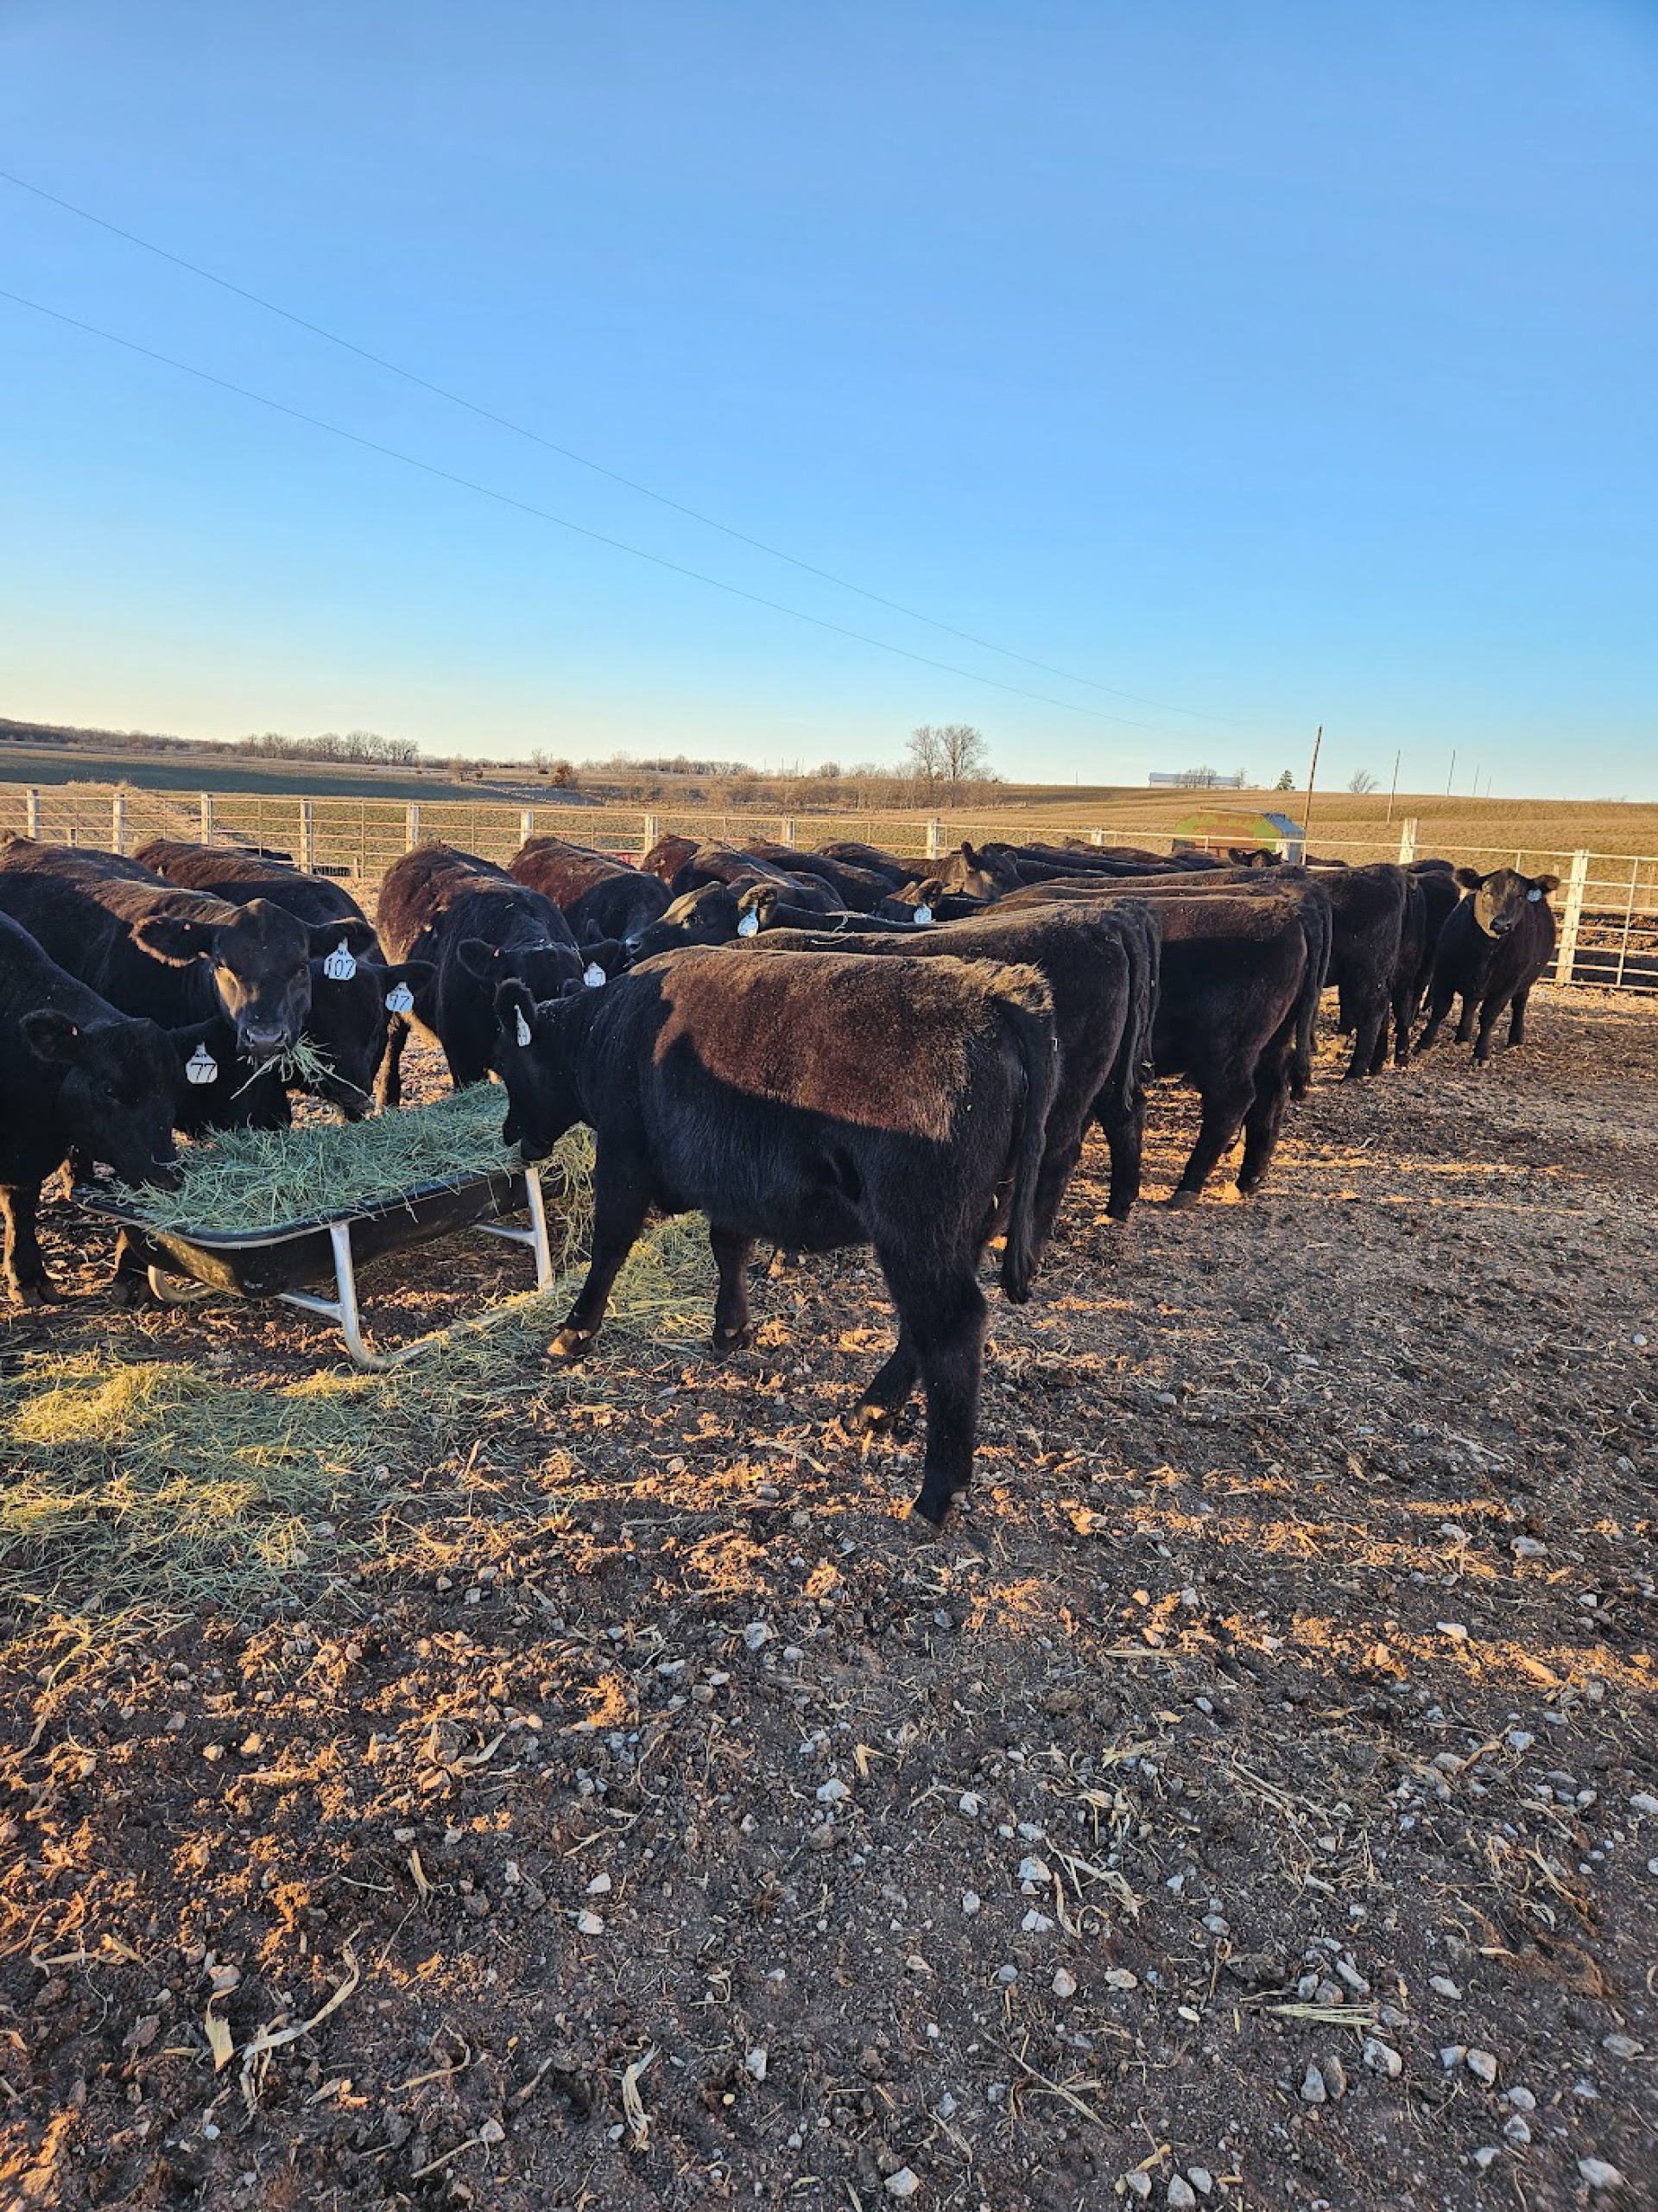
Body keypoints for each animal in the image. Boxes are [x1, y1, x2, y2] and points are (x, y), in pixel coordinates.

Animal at [479, 941, 1056, 1531]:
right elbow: (729, 1247)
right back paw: (869, 1409)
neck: (605, 1029)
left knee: (951, 1327)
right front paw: (731, 1329)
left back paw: (938, 1491)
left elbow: (610, 1247)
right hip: (963, 1230)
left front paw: (574, 1331)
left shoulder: (624, 1156)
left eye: (502, 1065)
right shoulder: (729, 1178)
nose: (508, 1135)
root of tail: (994, 991)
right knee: (923, 1328)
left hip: (916, 1230)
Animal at [1414, 862, 1556, 1062]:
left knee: (1519, 1003)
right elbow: (1441, 1008)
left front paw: (1481, 1053)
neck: (1485, 953)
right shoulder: (1444, 973)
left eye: (1520, 896)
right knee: (1470, 1003)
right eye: (1487, 892)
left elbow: (1489, 1016)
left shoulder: (1507, 985)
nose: (1501, 924)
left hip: (1526, 981)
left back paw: (1515, 1039)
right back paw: (1462, 1037)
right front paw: (1423, 1044)